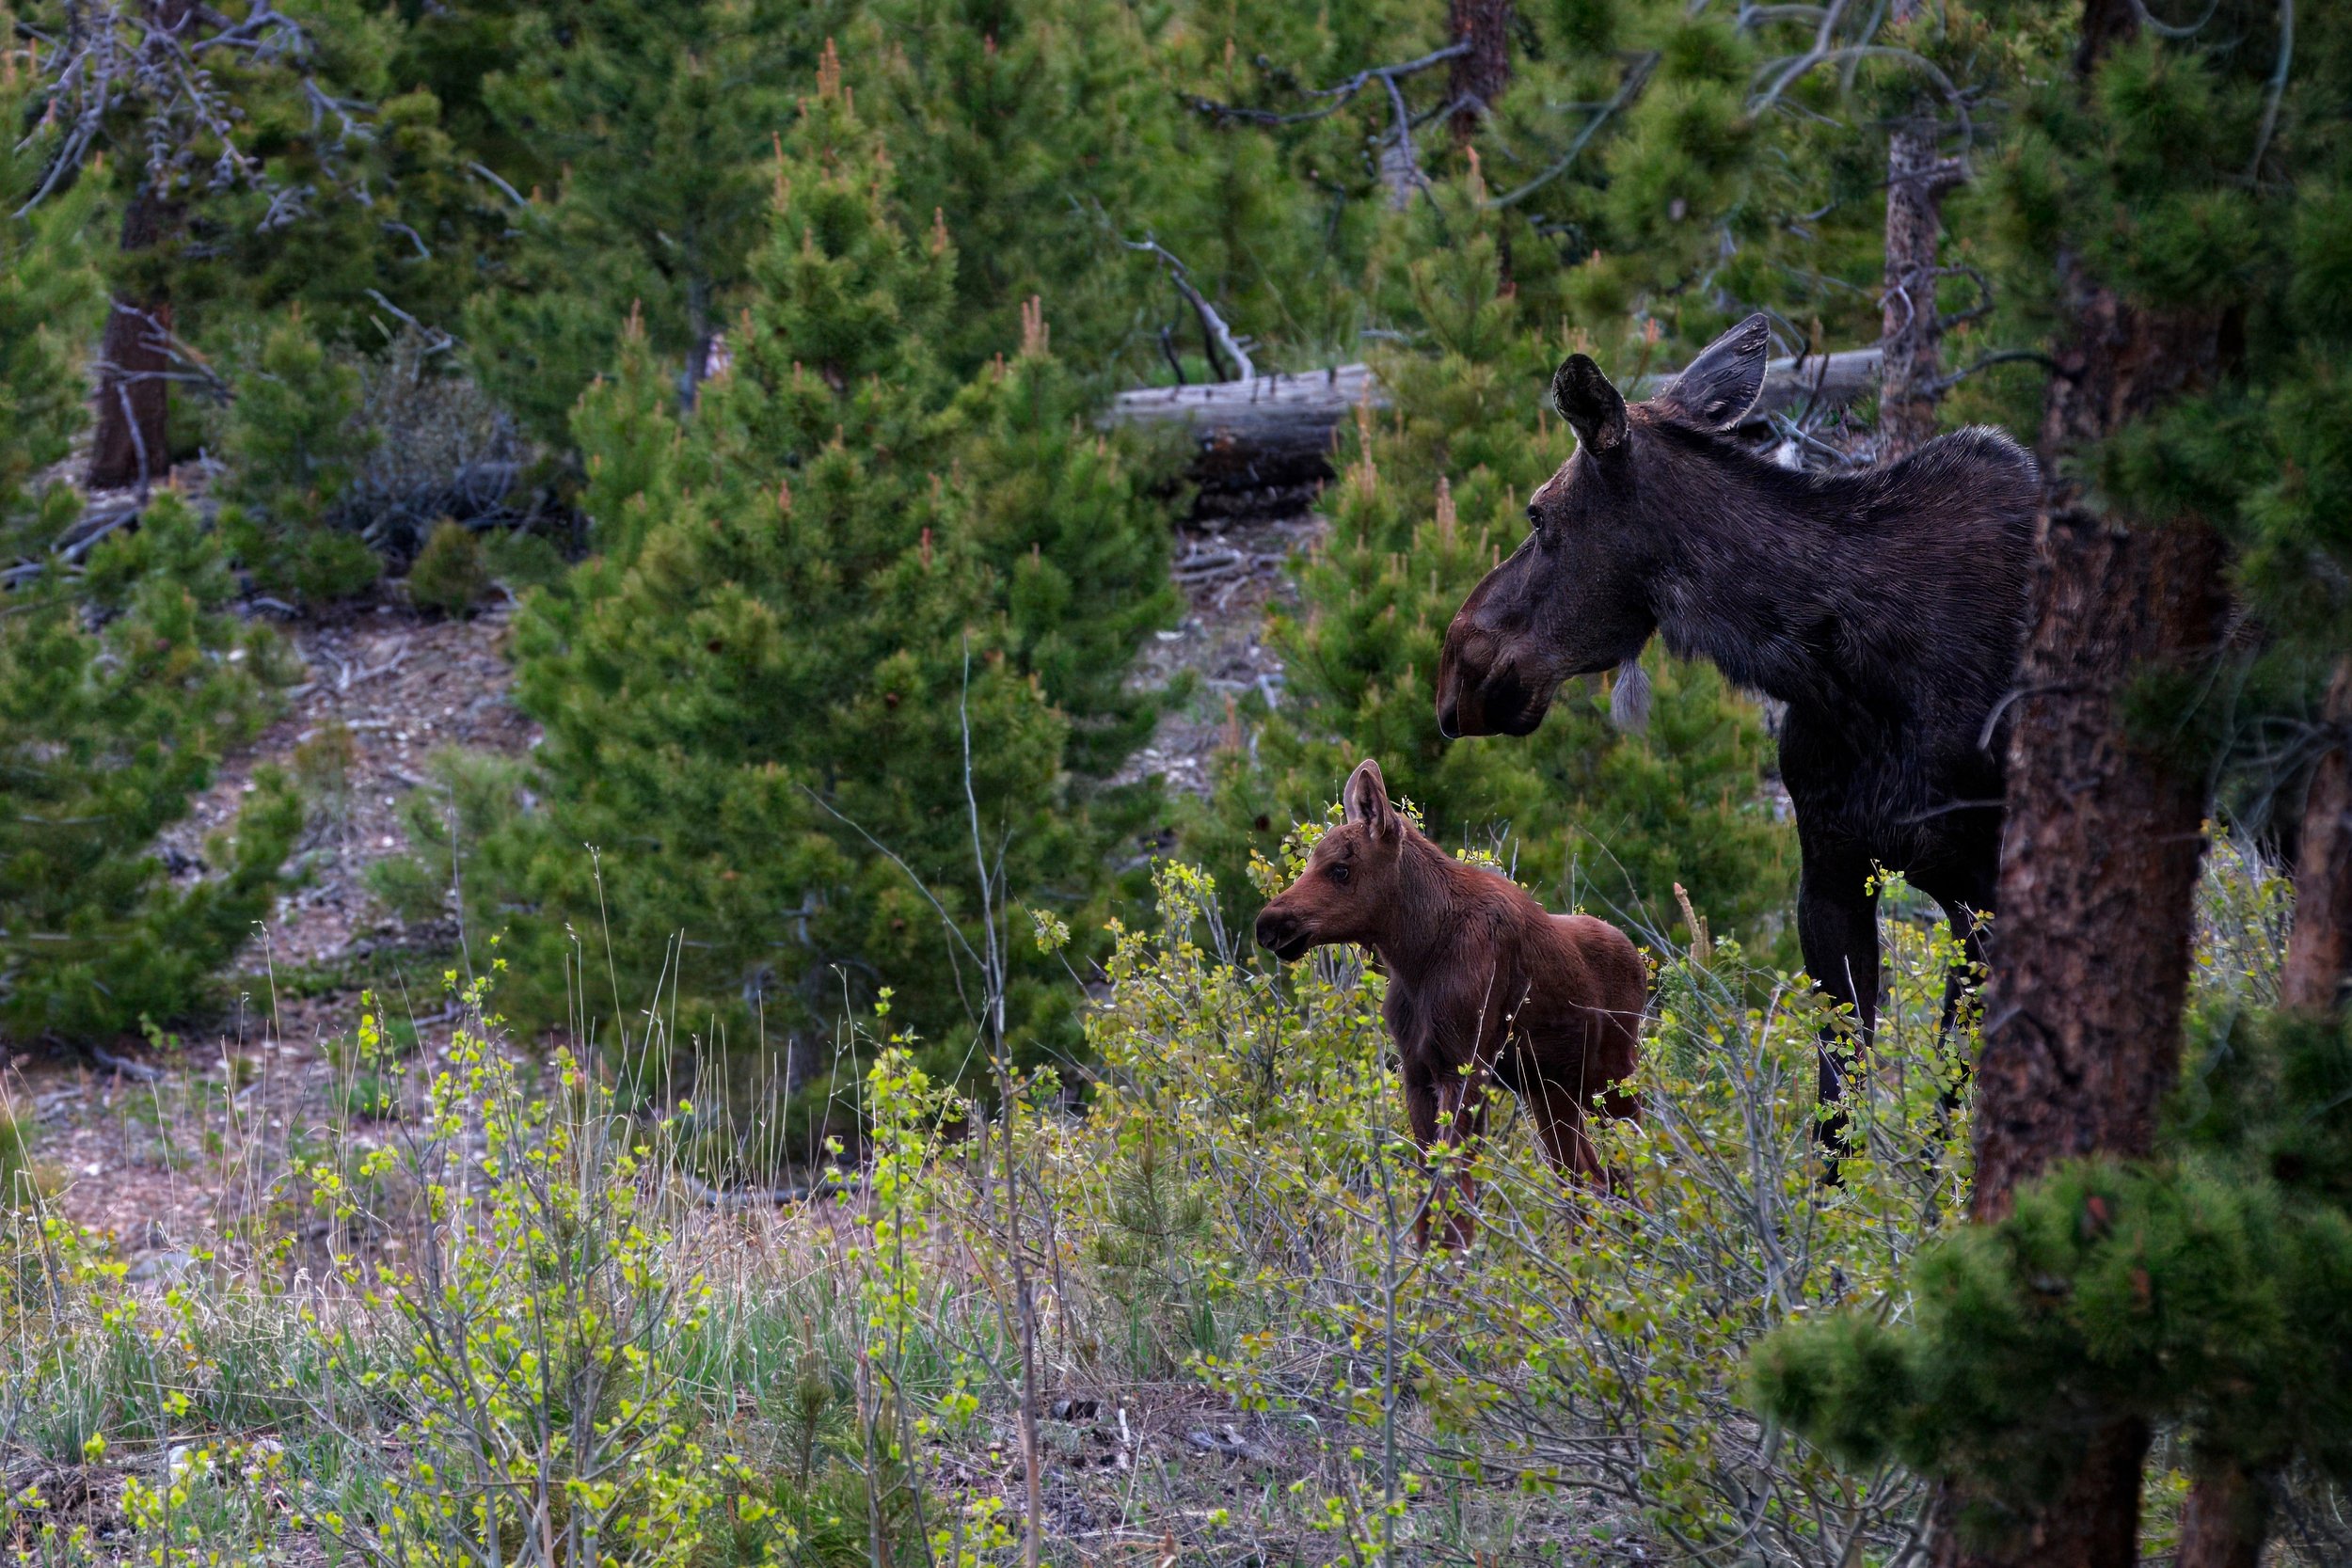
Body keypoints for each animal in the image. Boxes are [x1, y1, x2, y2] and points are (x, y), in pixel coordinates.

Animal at [1253, 759, 1649, 1248]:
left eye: (1341, 869)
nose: (1268, 925)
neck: (1417, 954)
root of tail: (1640, 963)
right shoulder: (1418, 1070)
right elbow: (1431, 1205)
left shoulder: (1464, 1065)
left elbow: (1455, 1203)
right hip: (1553, 1090)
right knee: (1591, 1180)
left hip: (1611, 1077)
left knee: (1634, 1171)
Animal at [1433, 314, 2043, 1153]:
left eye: (1537, 512)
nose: (1455, 671)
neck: (1843, 668)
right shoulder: (1831, 871)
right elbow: (1837, 1111)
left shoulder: (1984, 884)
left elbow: (1949, 1101)